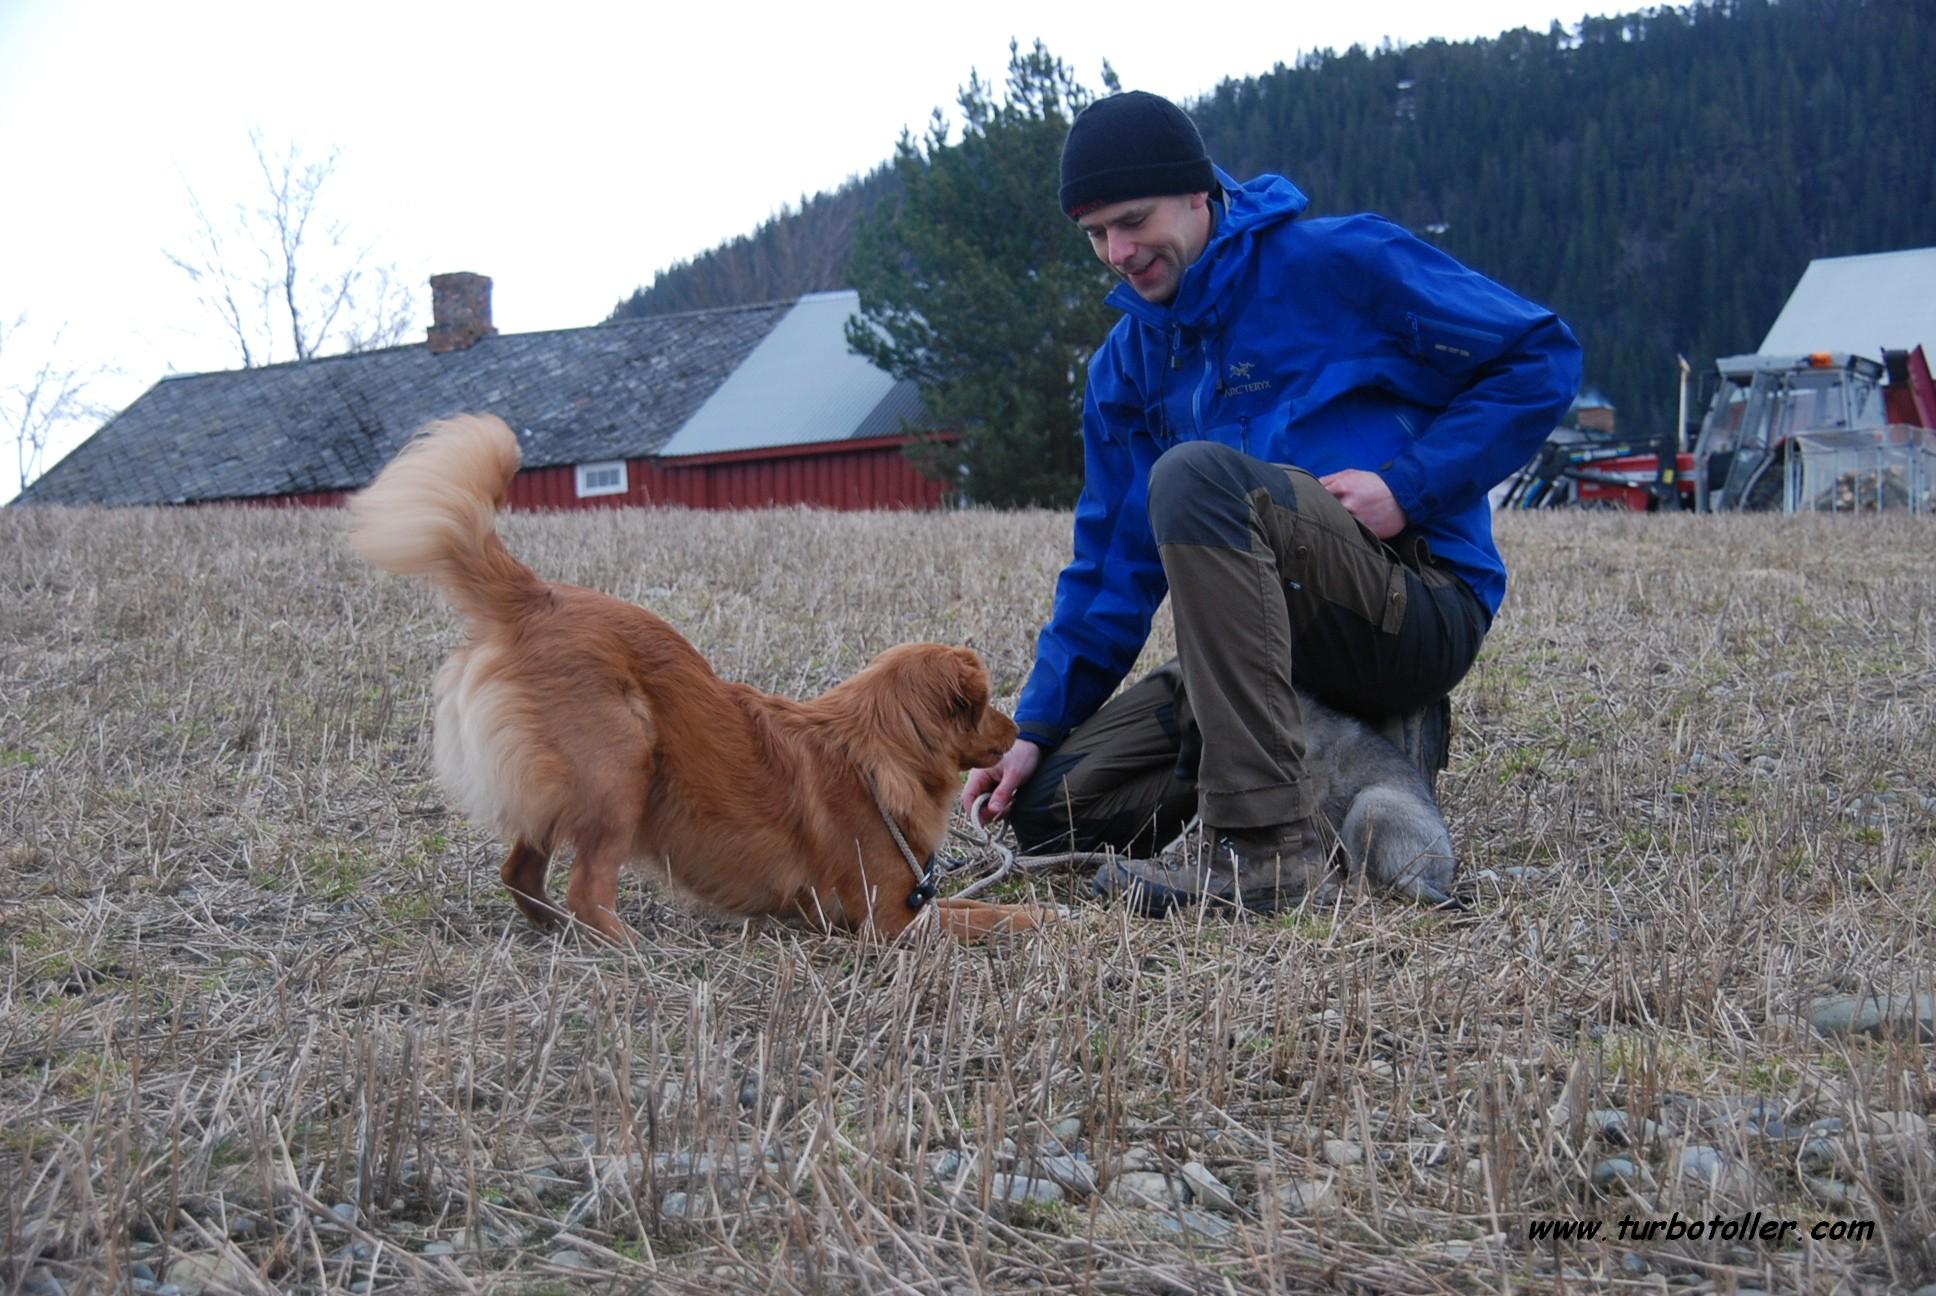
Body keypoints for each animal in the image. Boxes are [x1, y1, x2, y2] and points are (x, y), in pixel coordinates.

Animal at [348, 414, 1045, 941]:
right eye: (985, 704)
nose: (1019, 731)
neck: (878, 752)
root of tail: (538, 598)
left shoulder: (911, 905)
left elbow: (971, 903)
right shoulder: (889, 923)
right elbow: (986, 913)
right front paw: (1042, 917)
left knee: (520, 873)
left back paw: (563, 936)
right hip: (622, 761)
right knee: (585, 889)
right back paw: (628, 950)